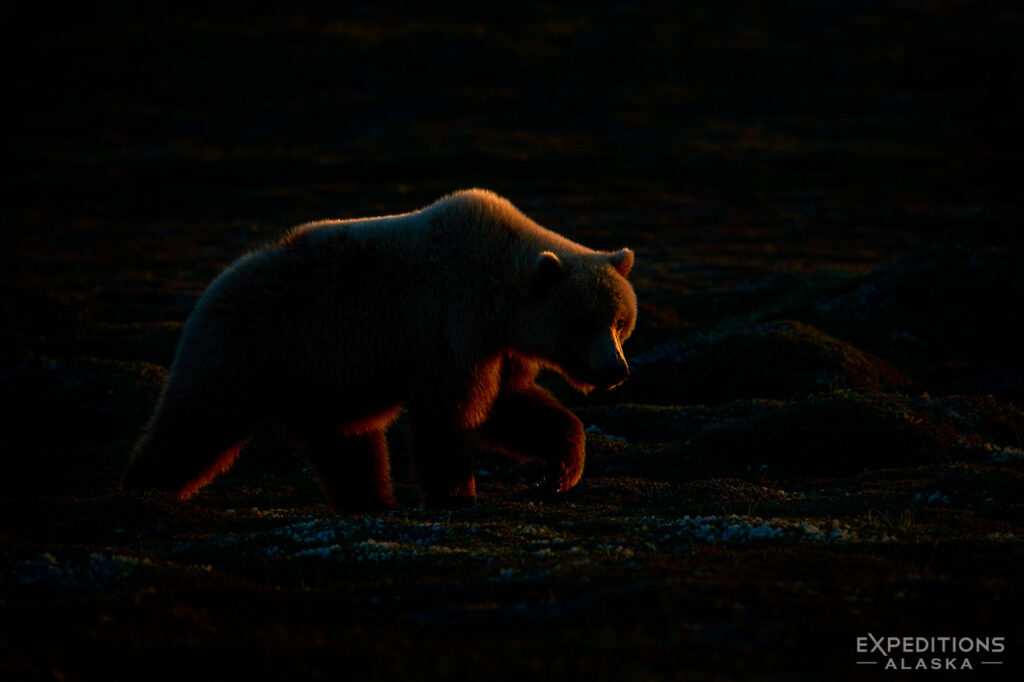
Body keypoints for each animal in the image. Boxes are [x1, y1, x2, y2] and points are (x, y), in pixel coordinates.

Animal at [122, 189, 637, 510]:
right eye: (585, 322)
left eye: (620, 321)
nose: (618, 370)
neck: (500, 296)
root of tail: (218, 280)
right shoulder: (450, 328)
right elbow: (452, 414)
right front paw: (456, 495)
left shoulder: (496, 348)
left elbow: (509, 406)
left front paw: (563, 470)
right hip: (249, 345)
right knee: (197, 421)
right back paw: (143, 490)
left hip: (320, 379)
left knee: (347, 444)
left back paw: (372, 501)